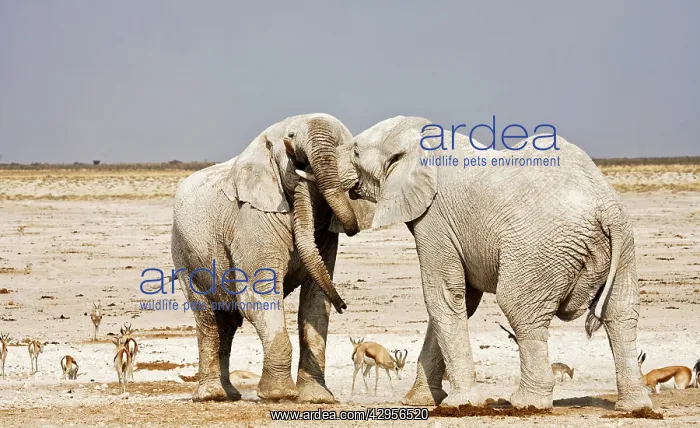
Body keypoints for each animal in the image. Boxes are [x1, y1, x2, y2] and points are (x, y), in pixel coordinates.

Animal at [170, 113, 371, 403]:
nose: (345, 305)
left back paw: (229, 394)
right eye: (290, 138)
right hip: (183, 251)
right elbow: (260, 294)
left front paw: (317, 398)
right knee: (208, 317)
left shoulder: (325, 235)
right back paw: (211, 396)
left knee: (227, 322)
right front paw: (279, 395)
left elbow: (315, 301)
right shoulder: (253, 218)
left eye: (344, 146)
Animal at [340, 116, 652, 411]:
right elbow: (462, 301)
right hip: (625, 247)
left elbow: (444, 296)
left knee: (520, 310)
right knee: (621, 314)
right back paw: (634, 406)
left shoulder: (435, 219)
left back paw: (527, 403)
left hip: (539, 248)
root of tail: (606, 208)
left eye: (355, 151)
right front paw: (419, 401)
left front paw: (459, 405)